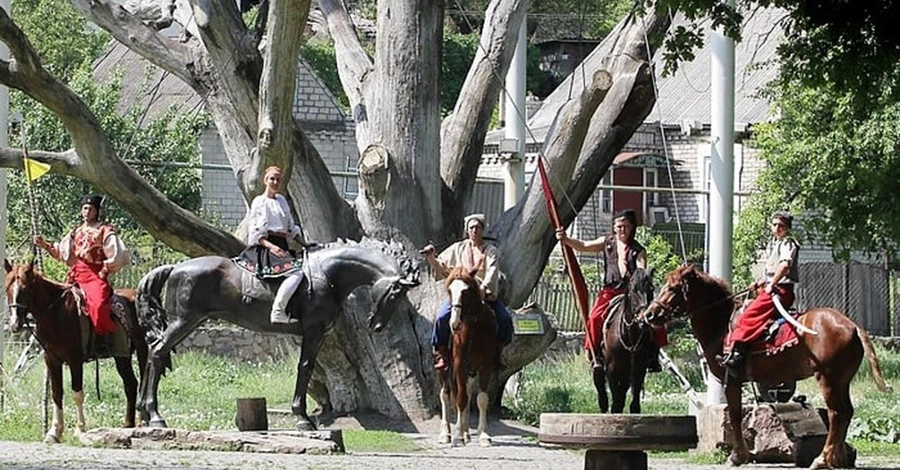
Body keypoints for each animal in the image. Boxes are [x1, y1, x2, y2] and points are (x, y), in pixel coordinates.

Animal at [4, 258, 149, 442]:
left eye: (26, 289)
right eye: (7, 288)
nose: (15, 324)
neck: (56, 313)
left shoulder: (75, 359)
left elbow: (77, 393)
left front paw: (80, 429)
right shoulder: (52, 360)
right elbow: (57, 393)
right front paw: (54, 432)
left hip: (143, 350)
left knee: (143, 383)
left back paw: (142, 422)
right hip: (121, 356)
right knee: (131, 384)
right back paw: (127, 425)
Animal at [135, 239, 420, 430]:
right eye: (395, 294)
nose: (377, 325)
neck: (328, 273)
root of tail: (174, 268)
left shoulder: (318, 335)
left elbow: (308, 368)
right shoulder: (313, 331)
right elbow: (305, 367)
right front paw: (303, 418)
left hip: (188, 322)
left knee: (152, 354)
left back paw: (144, 412)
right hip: (183, 322)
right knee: (157, 352)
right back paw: (155, 415)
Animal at [438, 266, 500, 446]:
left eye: (466, 291)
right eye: (450, 290)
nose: (454, 324)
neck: (473, 327)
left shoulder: (485, 365)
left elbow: (481, 399)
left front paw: (484, 434)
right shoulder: (459, 364)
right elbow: (460, 398)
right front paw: (458, 434)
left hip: (471, 370)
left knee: (468, 392)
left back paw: (466, 432)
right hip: (443, 366)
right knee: (445, 394)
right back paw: (446, 433)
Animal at [596, 266, 656, 414]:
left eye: (651, 289)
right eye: (633, 289)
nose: (644, 317)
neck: (629, 336)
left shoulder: (639, 368)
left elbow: (634, 405)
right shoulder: (612, 370)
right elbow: (617, 403)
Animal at [644, 266, 888, 468]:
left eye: (673, 288)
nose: (649, 314)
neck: (721, 325)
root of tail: (853, 326)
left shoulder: (731, 380)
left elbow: (734, 416)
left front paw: (737, 456)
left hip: (828, 379)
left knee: (836, 413)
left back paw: (822, 459)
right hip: (841, 381)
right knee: (846, 412)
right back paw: (838, 458)